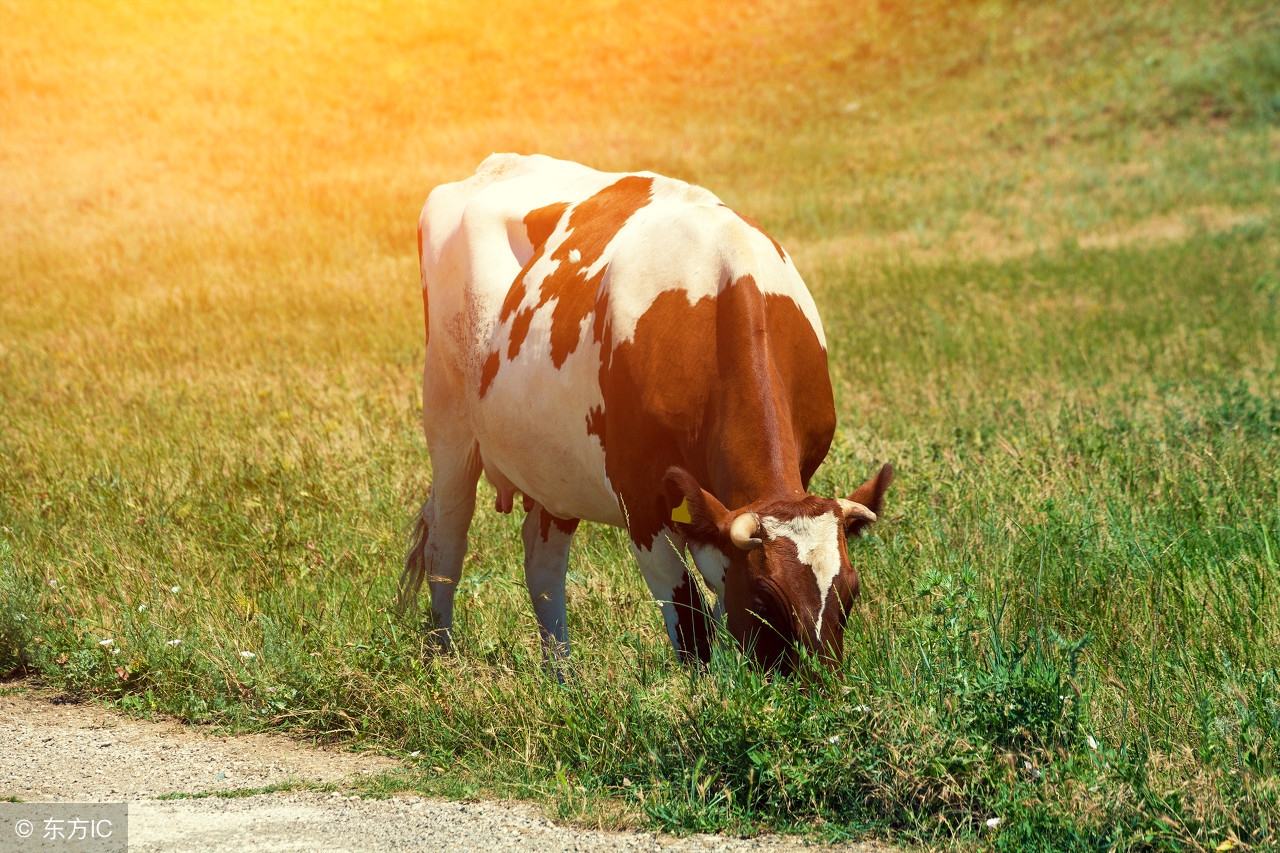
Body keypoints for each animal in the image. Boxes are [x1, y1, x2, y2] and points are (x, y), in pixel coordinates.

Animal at [399, 154, 890, 671]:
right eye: (764, 597)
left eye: (851, 594)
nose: (820, 683)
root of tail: (495, 164)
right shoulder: (639, 496)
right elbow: (690, 618)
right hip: (447, 420)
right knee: (447, 542)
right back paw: (442, 658)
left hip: (553, 464)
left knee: (542, 558)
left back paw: (563, 678)